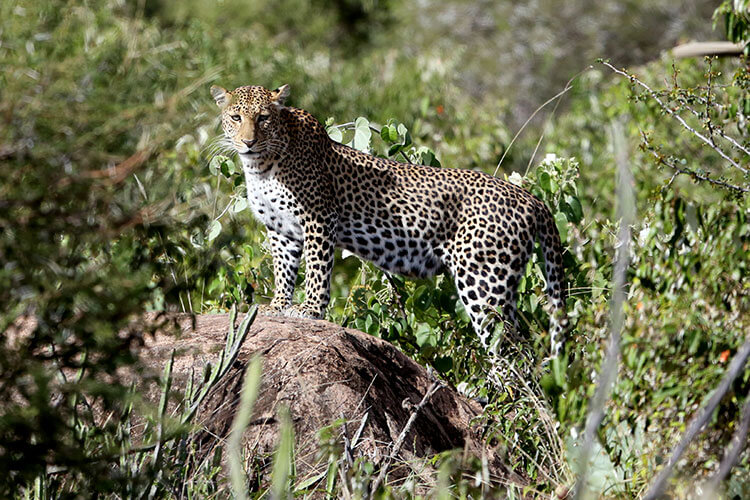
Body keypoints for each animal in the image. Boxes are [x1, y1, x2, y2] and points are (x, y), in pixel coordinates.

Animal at [210, 83, 568, 356]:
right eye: (236, 117)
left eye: (263, 118)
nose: (248, 141)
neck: (262, 166)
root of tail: (531, 198)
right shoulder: (280, 229)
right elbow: (283, 271)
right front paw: (278, 306)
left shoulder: (319, 218)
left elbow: (316, 270)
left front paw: (310, 310)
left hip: (483, 282)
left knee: (514, 350)